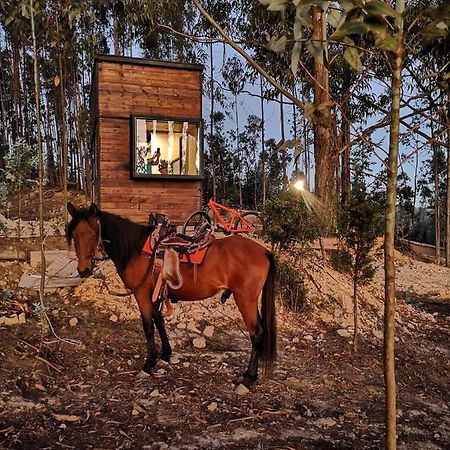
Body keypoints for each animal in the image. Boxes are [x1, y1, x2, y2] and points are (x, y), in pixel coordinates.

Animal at [67, 202, 276, 384]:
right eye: (74, 235)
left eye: (93, 234)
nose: (83, 270)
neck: (136, 250)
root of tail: (264, 251)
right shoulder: (155, 294)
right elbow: (159, 321)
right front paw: (165, 354)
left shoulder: (142, 293)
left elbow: (148, 326)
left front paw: (148, 364)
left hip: (245, 300)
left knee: (257, 333)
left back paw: (249, 377)